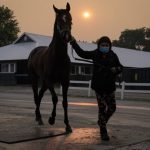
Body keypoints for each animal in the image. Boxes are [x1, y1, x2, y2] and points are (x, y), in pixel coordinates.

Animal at [28, 2, 72, 132]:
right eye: (59, 20)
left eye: (70, 19)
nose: (66, 36)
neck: (58, 57)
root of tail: (34, 51)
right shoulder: (49, 80)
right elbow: (55, 98)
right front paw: (51, 119)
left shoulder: (65, 81)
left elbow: (65, 102)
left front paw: (68, 125)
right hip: (36, 79)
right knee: (36, 96)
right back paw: (39, 118)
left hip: (45, 83)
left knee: (40, 96)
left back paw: (39, 117)